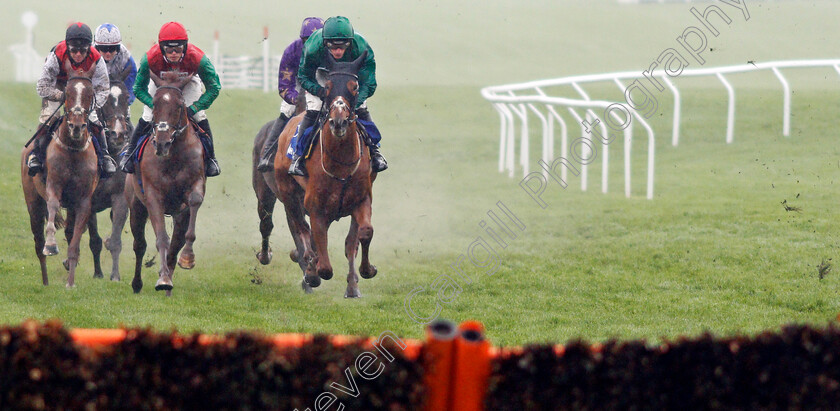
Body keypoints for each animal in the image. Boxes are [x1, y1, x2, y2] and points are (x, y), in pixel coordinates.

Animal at [20, 61, 100, 288]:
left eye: (90, 93)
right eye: (68, 93)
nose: (77, 126)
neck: (73, 148)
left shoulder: (83, 201)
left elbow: (75, 241)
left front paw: (70, 282)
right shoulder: (53, 186)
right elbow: (53, 206)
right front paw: (51, 245)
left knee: (70, 231)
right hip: (33, 203)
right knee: (38, 243)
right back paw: (45, 281)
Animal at [62, 77, 132, 282]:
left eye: (127, 97)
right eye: (105, 100)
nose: (118, 134)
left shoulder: (120, 198)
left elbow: (115, 239)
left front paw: (114, 275)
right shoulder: (89, 201)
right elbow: (94, 240)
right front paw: (98, 273)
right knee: (70, 230)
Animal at [126, 71, 208, 296]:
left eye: (180, 105)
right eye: (154, 103)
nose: (162, 142)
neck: (173, 155)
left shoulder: (195, 187)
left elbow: (194, 202)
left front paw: (187, 259)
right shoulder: (153, 196)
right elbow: (162, 238)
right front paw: (162, 278)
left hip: (179, 214)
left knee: (177, 241)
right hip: (136, 206)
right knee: (139, 245)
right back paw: (138, 283)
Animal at [253, 52, 378, 300]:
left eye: (355, 86)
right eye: (327, 86)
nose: (338, 121)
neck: (341, 164)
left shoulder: (361, 200)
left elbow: (361, 235)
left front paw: (360, 277)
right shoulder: (316, 209)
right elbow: (320, 257)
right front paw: (311, 272)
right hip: (275, 195)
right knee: (277, 225)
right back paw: (279, 260)